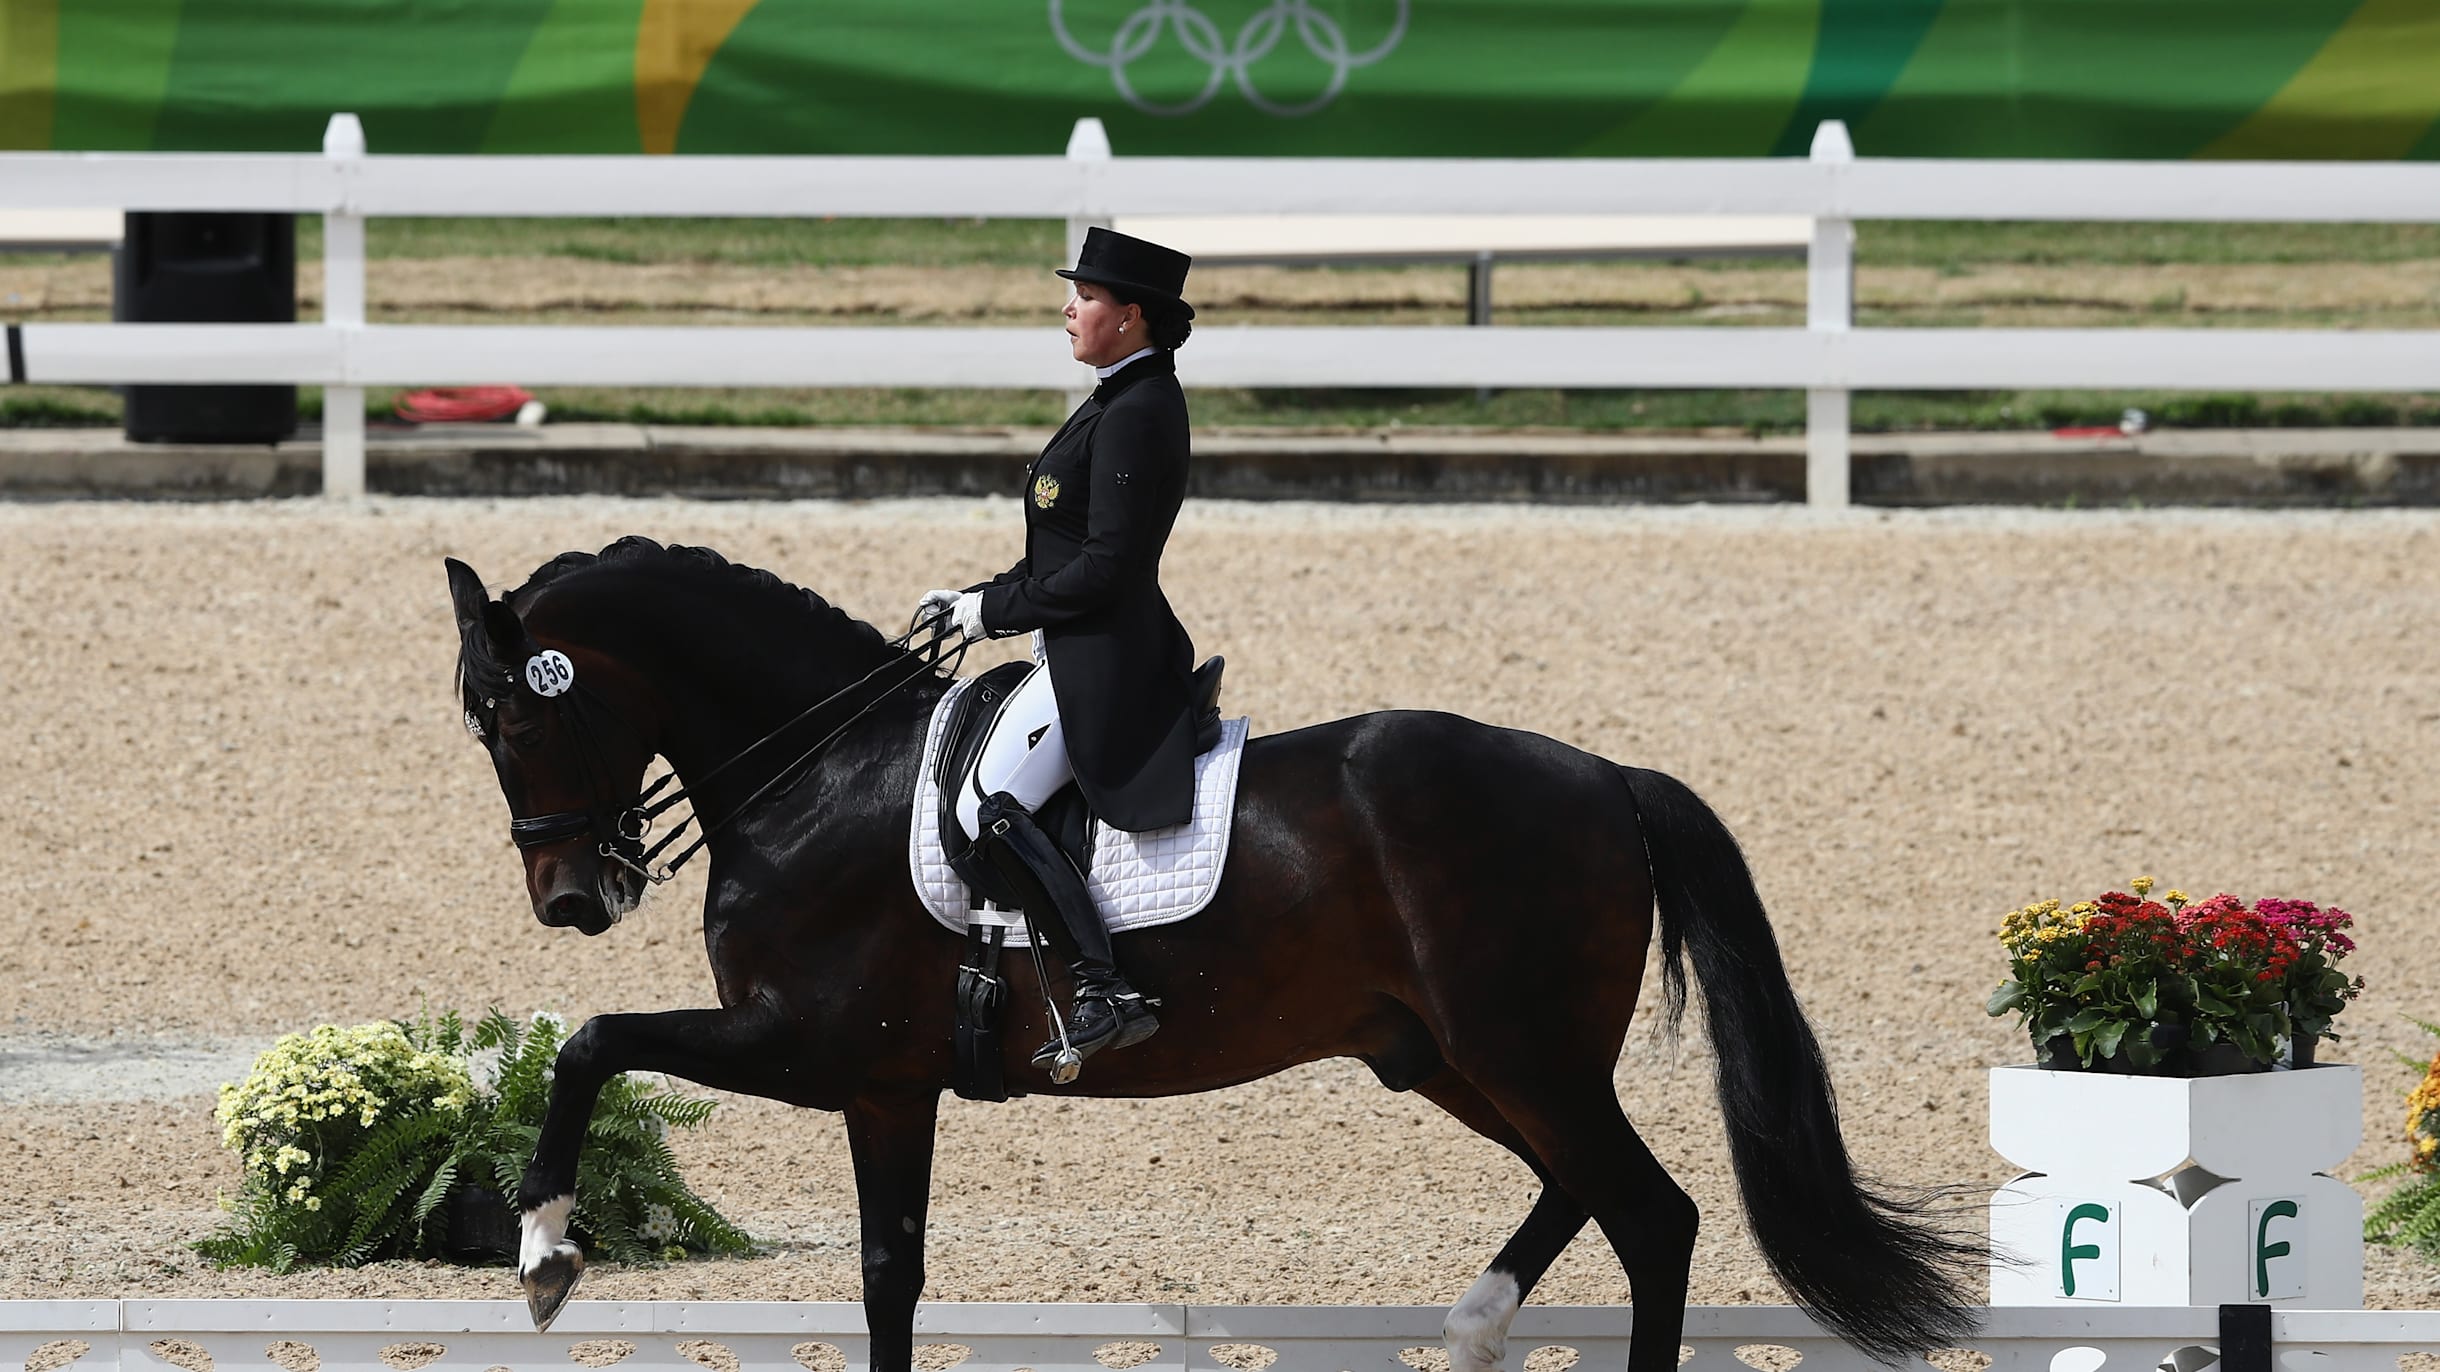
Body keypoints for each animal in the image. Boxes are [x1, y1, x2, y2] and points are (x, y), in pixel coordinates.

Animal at [444, 534, 1981, 1367]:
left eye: (513, 719)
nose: (572, 901)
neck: (819, 774)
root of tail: (1608, 777)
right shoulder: (885, 1087)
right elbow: (890, 1278)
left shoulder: (812, 1046)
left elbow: (592, 1044)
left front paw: (543, 1251)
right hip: (1451, 1057)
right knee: (1587, 1191)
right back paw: (1477, 1322)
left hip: (1516, 1048)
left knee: (1651, 1216)